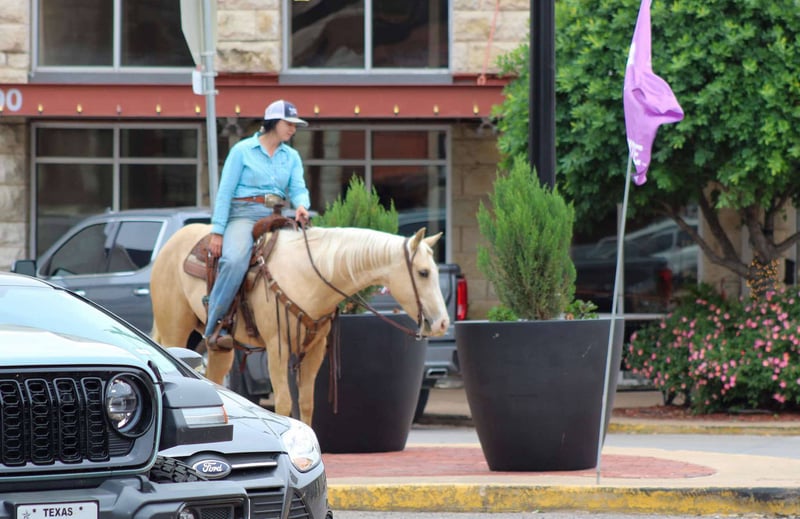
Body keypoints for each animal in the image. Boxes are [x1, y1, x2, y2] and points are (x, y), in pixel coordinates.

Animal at [149, 223, 450, 425]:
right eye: (423, 272)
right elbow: (283, 404)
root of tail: (171, 244)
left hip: (221, 348)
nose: (443, 323)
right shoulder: (277, 348)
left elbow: (305, 404)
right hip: (175, 330)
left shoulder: (315, 351)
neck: (308, 276)